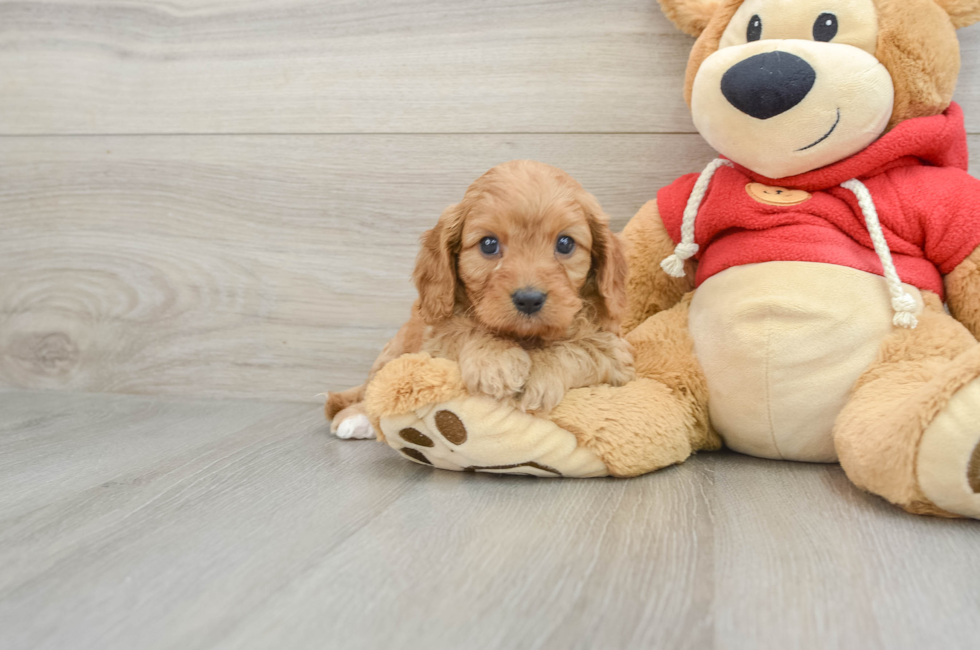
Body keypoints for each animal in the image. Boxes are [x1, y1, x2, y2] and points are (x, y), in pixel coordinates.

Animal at [330, 159, 636, 438]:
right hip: (395, 349)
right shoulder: (437, 340)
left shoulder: (617, 354)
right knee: (372, 386)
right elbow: (466, 330)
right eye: (489, 244)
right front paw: (496, 361)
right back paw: (356, 418)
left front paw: (540, 375)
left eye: (565, 243)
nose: (529, 299)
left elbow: (580, 348)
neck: (525, 338)